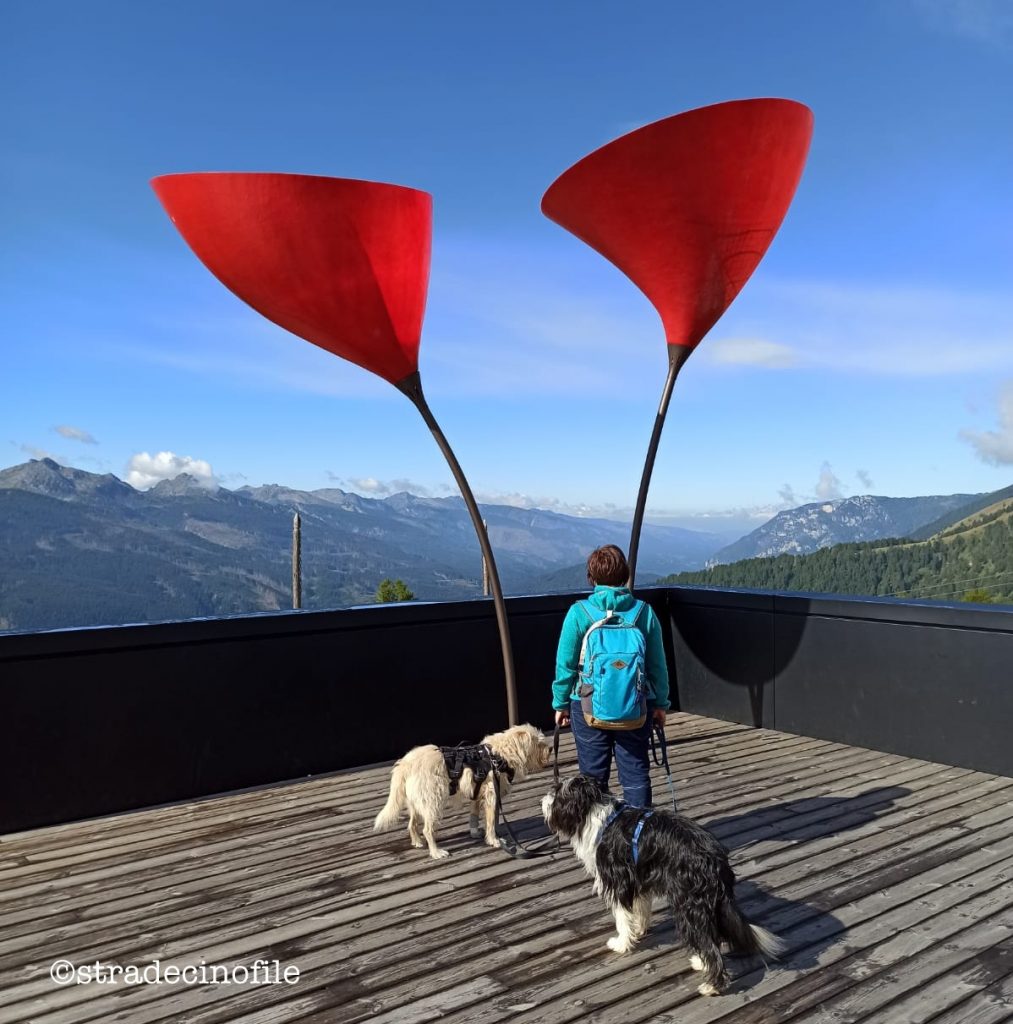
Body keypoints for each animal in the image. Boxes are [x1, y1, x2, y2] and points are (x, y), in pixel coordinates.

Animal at [370, 724, 549, 860]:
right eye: (539, 743)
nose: (551, 749)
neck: (499, 756)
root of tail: (405, 764)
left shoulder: (478, 792)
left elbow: (474, 815)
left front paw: (475, 832)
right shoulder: (491, 796)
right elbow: (491, 822)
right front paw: (494, 840)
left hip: (417, 802)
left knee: (411, 824)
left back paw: (418, 842)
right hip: (433, 802)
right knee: (427, 830)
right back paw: (436, 852)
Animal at [540, 774, 786, 991]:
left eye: (557, 792)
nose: (542, 801)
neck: (597, 814)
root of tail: (716, 860)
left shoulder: (619, 881)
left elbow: (622, 917)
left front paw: (622, 943)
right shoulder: (639, 877)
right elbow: (640, 908)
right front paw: (639, 930)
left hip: (689, 904)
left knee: (708, 944)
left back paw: (712, 985)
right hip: (707, 904)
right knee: (711, 937)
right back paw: (701, 963)